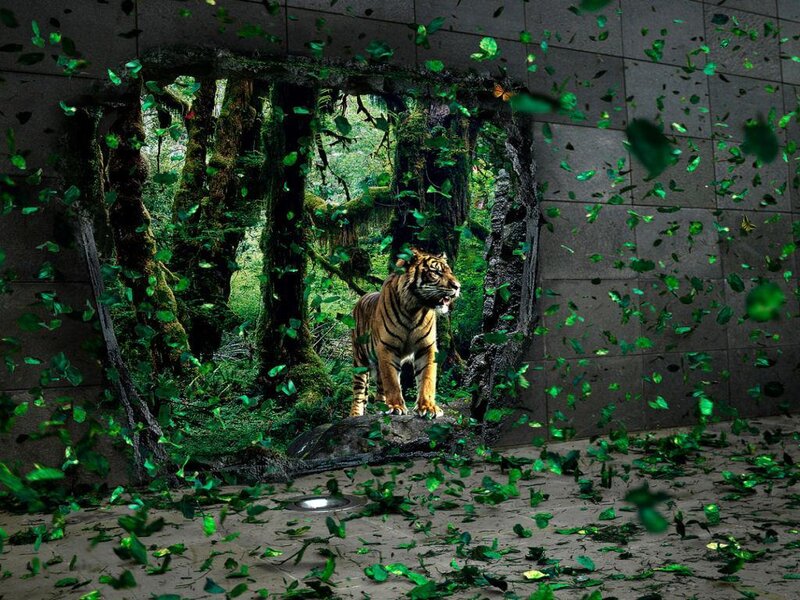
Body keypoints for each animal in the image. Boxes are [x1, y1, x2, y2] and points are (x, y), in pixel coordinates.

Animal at [350, 248, 461, 419]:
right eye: (436, 272)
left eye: (450, 272)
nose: (457, 286)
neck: (414, 309)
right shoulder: (387, 347)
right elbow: (392, 381)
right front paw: (396, 406)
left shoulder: (426, 347)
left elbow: (427, 378)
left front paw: (428, 407)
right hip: (360, 361)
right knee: (359, 393)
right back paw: (356, 414)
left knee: (380, 387)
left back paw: (381, 406)